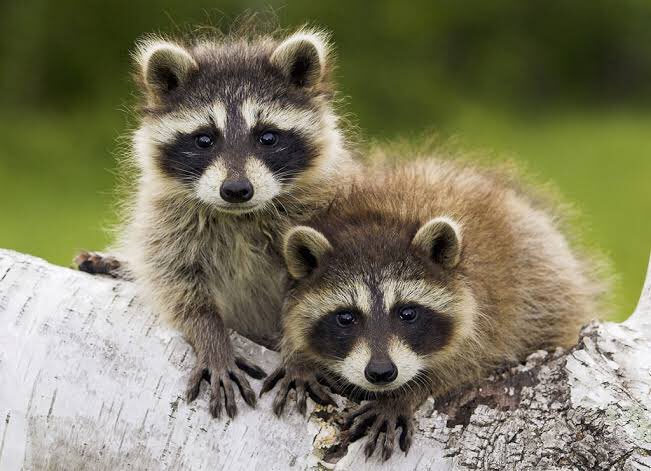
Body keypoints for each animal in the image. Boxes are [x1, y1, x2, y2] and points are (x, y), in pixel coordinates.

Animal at [79, 28, 360, 420]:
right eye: (204, 139)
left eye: (267, 137)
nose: (237, 190)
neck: (239, 216)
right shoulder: (166, 220)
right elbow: (176, 283)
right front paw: (210, 336)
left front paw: (300, 356)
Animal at [264, 159, 608, 460]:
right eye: (346, 317)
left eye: (407, 313)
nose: (381, 373)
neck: (379, 218)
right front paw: (299, 358)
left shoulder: (491, 311)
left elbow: (467, 361)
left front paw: (405, 394)